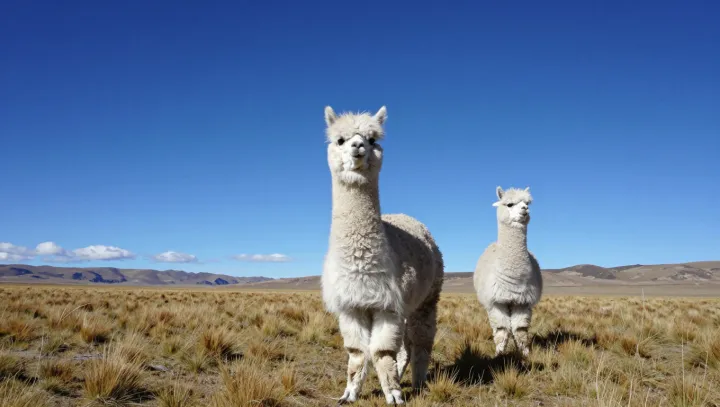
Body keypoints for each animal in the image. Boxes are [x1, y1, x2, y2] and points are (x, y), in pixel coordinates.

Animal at [321, 106, 444, 404]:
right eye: (340, 140)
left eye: (372, 139)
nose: (357, 146)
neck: (360, 263)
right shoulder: (352, 305)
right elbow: (357, 353)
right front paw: (349, 394)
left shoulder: (387, 305)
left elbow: (381, 352)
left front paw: (395, 396)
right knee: (405, 346)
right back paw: (401, 375)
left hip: (428, 297)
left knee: (421, 340)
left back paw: (418, 381)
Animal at [474, 186, 542, 357]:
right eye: (510, 204)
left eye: (527, 203)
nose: (525, 209)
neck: (515, 279)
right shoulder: (497, 302)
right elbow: (502, 330)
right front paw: (499, 355)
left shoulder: (522, 302)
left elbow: (520, 330)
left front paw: (525, 354)